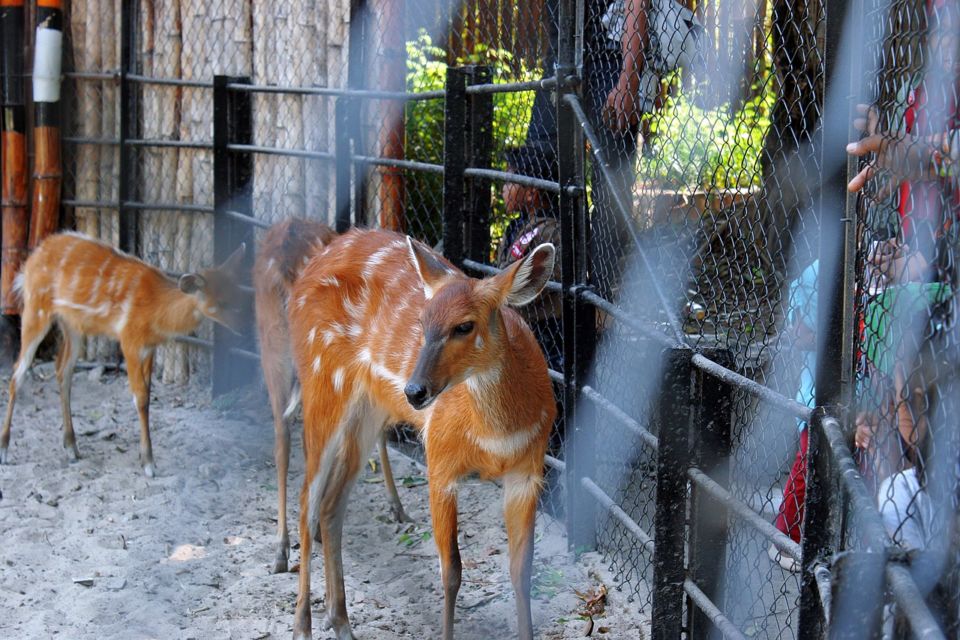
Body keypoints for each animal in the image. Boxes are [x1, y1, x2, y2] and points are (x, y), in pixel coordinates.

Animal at [0, 230, 246, 476]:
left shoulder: (149, 347)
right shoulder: (129, 341)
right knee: (18, 372)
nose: (243, 328)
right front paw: (148, 463)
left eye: (238, 295)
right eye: (221, 302)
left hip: (72, 325)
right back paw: (5, 450)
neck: (157, 308)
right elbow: (141, 397)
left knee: (63, 369)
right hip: (36, 310)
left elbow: (147, 394)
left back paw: (71, 447)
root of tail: (33, 258)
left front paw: (143, 457)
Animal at [286, 230, 556, 640]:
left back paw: (342, 622)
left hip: (366, 411)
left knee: (332, 505)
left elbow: (521, 570)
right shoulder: (440, 461)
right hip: (321, 383)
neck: (496, 435)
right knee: (307, 501)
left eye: (465, 325)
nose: (414, 391)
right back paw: (303, 625)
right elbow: (451, 571)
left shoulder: (528, 470)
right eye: (422, 320)